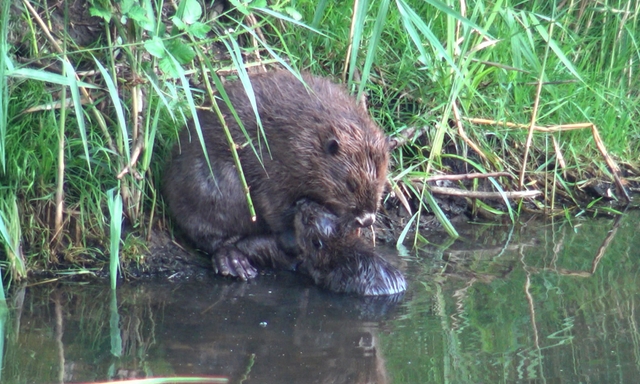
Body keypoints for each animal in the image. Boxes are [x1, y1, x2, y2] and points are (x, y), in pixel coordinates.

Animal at [162, 71, 388, 282]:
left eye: (382, 182)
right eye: (351, 184)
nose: (366, 219)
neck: (311, 134)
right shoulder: (275, 162)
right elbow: (273, 205)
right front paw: (295, 238)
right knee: (214, 237)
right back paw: (236, 264)